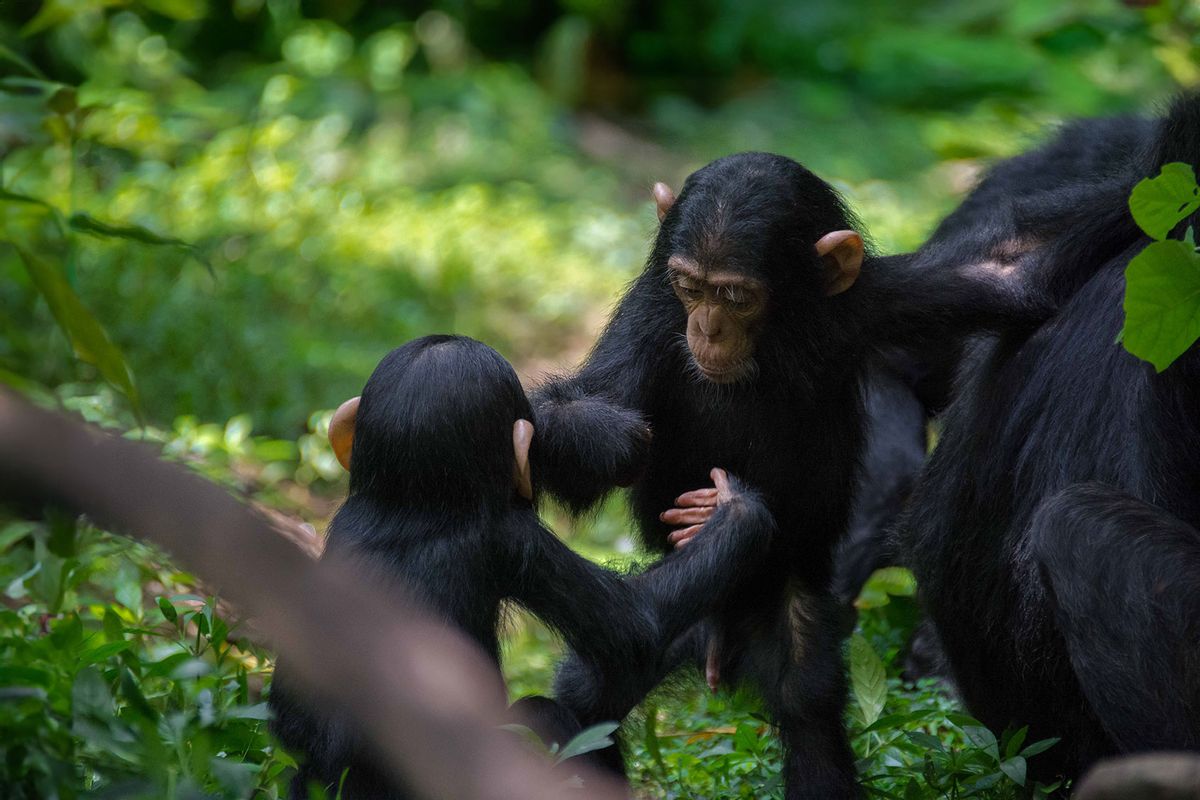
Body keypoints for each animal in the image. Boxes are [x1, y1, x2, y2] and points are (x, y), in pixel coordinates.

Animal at [530, 153, 1036, 796]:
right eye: (690, 288)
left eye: (735, 296)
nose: (707, 328)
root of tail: (720, 646)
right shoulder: (644, 325)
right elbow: (590, 410)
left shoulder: (875, 301)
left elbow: (1011, 271)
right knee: (592, 694)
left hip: (783, 601)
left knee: (807, 703)